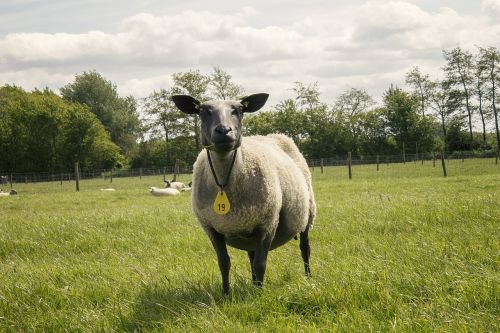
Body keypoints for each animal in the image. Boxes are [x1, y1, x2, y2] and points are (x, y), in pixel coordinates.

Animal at [172, 92, 316, 294]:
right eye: (202, 111)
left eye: (238, 110)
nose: (224, 130)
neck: (224, 183)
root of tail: (277, 135)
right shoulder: (211, 228)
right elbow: (224, 263)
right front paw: (226, 294)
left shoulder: (268, 224)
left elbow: (261, 264)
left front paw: (260, 295)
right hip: (248, 228)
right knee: (251, 256)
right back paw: (254, 284)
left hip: (307, 215)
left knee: (305, 248)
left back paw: (308, 277)